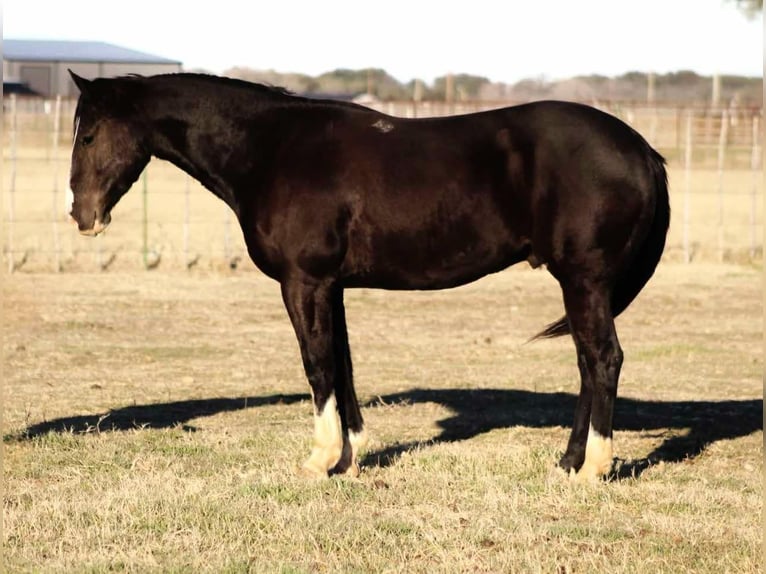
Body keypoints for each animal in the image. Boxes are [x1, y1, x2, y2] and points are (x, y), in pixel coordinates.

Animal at [67, 73, 672, 486]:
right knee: (588, 365)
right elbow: (343, 365)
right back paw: (568, 462)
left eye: (90, 135)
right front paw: (350, 459)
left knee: (603, 360)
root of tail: (642, 149)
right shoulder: (331, 286)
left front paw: (318, 460)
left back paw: (593, 467)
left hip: (584, 282)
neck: (274, 150)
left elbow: (317, 366)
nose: (82, 215)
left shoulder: (304, 283)